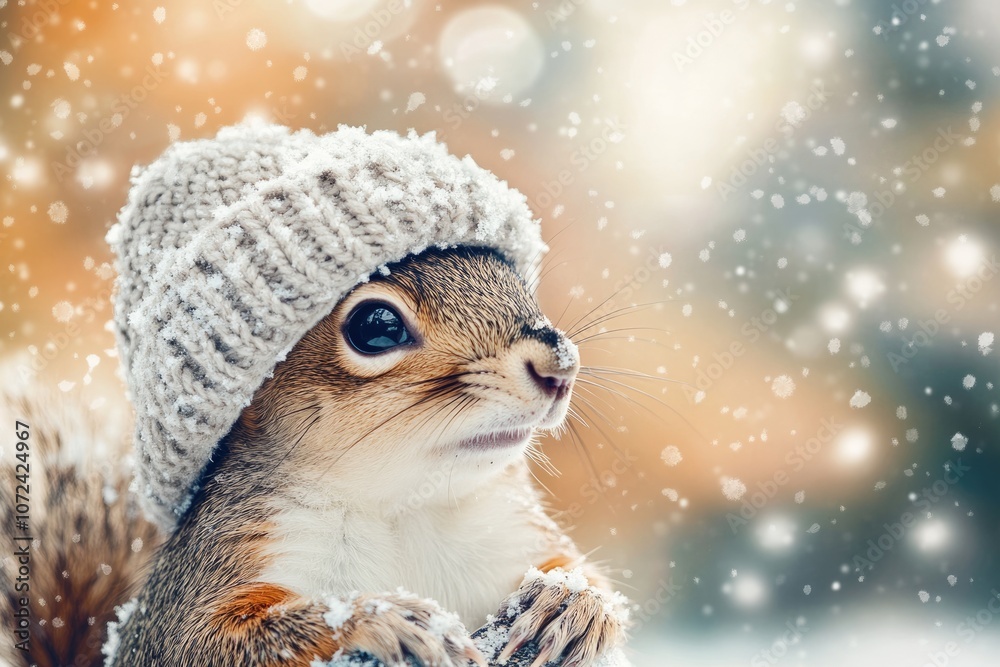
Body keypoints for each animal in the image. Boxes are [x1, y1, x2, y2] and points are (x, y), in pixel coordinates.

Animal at [1, 124, 631, 667]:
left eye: (517, 279)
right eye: (376, 326)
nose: (559, 365)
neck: (405, 507)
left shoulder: (509, 533)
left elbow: (585, 575)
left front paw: (569, 602)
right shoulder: (216, 569)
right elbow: (209, 641)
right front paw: (379, 617)